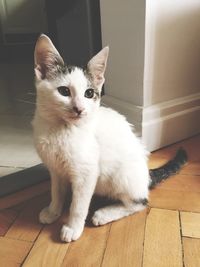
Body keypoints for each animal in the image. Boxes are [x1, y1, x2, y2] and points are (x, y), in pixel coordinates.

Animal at [32, 34, 187, 244]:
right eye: (64, 91)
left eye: (89, 93)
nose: (79, 109)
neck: (60, 130)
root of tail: (146, 175)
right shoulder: (55, 169)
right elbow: (56, 191)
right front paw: (53, 211)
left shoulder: (87, 172)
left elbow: (78, 205)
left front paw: (73, 227)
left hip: (121, 175)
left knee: (140, 202)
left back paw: (104, 214)